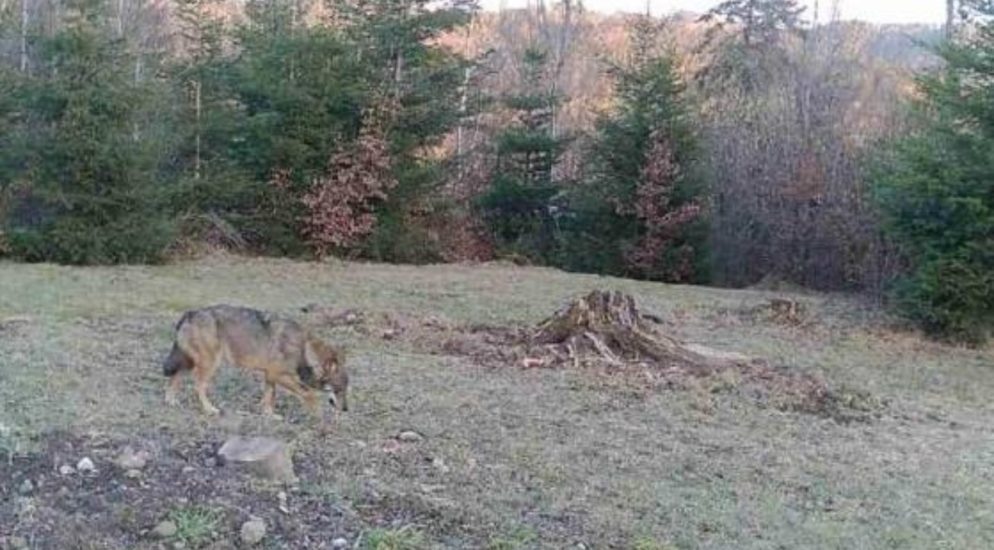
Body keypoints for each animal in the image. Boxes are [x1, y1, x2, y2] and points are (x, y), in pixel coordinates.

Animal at [164, 306, 348, 418]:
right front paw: (317, 414)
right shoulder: (278, 375)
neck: (304, 349)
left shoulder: (270, 376)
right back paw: (209, 409)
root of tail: (190, 313)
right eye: (339, 390)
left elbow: (269, 397)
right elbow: (309, 394)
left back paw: (171, 402)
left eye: (345, 390)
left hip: (192, 363)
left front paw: (269, 415)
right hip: (209, 365)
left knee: (175, 378)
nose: (346, 409)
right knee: (198, 386)